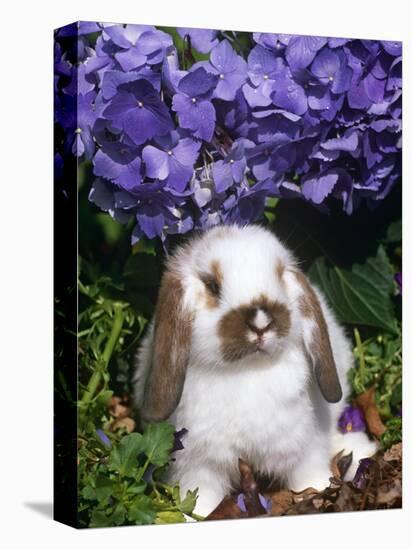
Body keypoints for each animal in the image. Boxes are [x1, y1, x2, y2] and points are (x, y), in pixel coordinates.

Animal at [132, 223, 376, 516]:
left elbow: (309, 478)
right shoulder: (197, 464)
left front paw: (319, 493)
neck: (247, 370)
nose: (261, 322)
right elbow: (199, 497)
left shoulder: (304, 448)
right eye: (212, 286)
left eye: (280, 275)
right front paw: (193, 517)